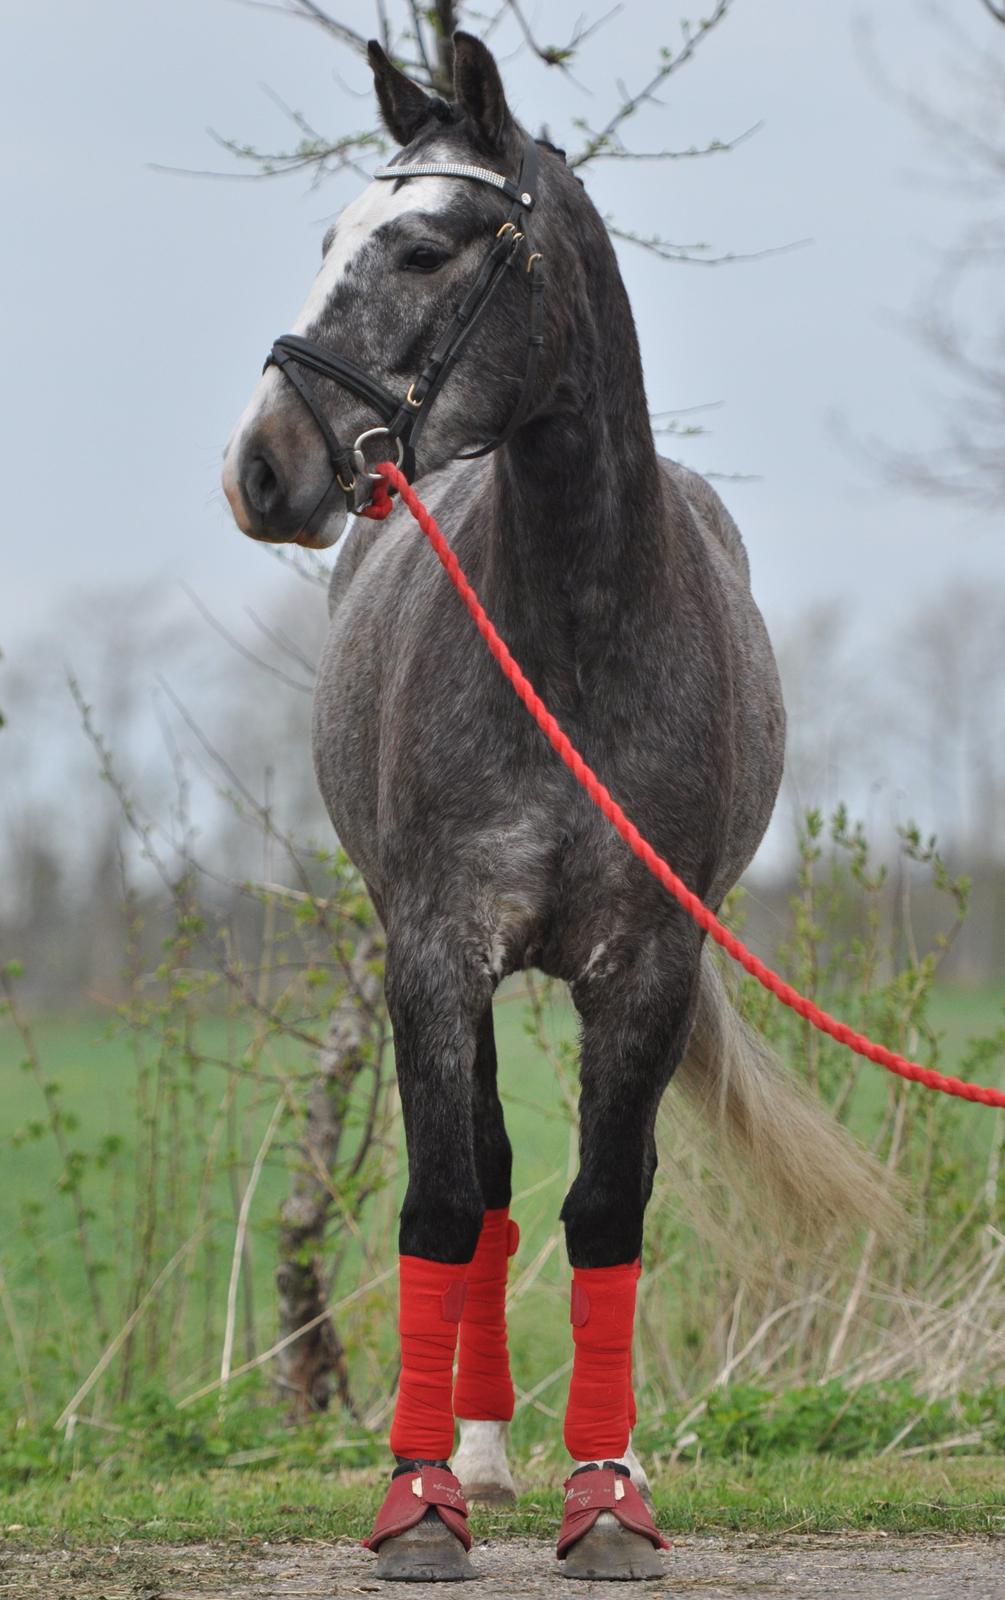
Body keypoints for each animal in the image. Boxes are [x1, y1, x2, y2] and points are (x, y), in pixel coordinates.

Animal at [224, 31, 889, 1580]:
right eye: (328, 238)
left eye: (421, 245)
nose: (264, 466)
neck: (581, 632)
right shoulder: (434, 953)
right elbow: (445, 1200)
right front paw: (421, 1498)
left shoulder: (646, 964)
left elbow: (607, 1209)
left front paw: (610, 1498)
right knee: (486, 1187)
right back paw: (477, 1452)